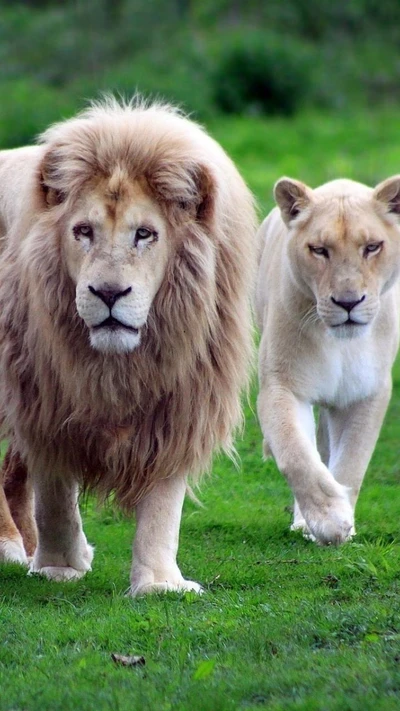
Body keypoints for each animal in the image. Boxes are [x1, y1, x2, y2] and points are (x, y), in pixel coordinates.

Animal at [0, 97, 256, 592]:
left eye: (145, 233)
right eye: (83, 231)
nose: (108, 293)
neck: (120, 365)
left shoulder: (181, 403)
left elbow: (162, 505)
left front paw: (159, 584)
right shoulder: (43, 399)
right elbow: (55, 495)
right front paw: (60, 567)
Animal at [255, 177, 400, 544]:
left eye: (372, 247)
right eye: (319, 250)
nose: (348, 302)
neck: (341, 345)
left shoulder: (367, 393)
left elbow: (352, 462)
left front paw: (344, 523)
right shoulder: (282, 386)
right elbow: (296, 455)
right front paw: (329, 519)